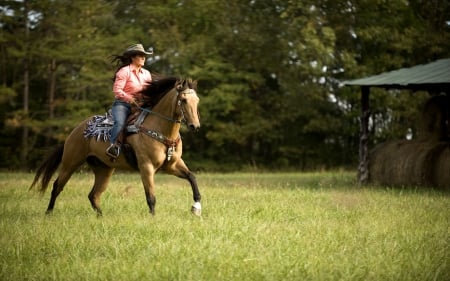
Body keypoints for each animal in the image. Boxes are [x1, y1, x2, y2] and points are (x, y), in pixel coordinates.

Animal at [29, 76, 202, 217]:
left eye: (197, 101)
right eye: (183, 100)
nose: (195, 126)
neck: (162, 131)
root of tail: (75, 131)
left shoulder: (172, 165)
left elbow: (192, 177)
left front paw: (196, 208)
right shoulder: (146, 167)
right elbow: (151, 197)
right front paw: (153, 219)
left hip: (103, 169)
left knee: (93, 195)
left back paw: (101, 217)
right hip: (70, 163)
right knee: (57, 186)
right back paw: (48, 213)